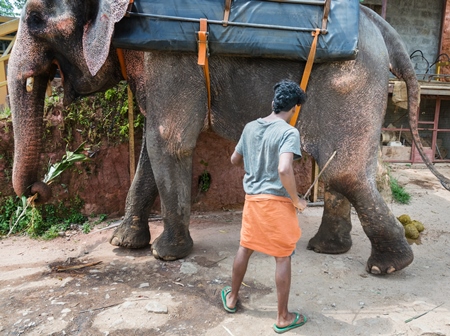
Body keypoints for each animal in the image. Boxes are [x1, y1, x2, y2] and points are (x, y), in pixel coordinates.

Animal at [8, 0, 450, 274]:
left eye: (34, 19)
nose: (39, 191)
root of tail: (382, 26)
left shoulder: (170, 61)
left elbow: (168, 141)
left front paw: (164, 256)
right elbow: (151, 149)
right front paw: (124, 245)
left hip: (352, 82)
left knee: (343, 171)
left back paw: (386, 266)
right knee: (337, 168)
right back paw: (328, 249)